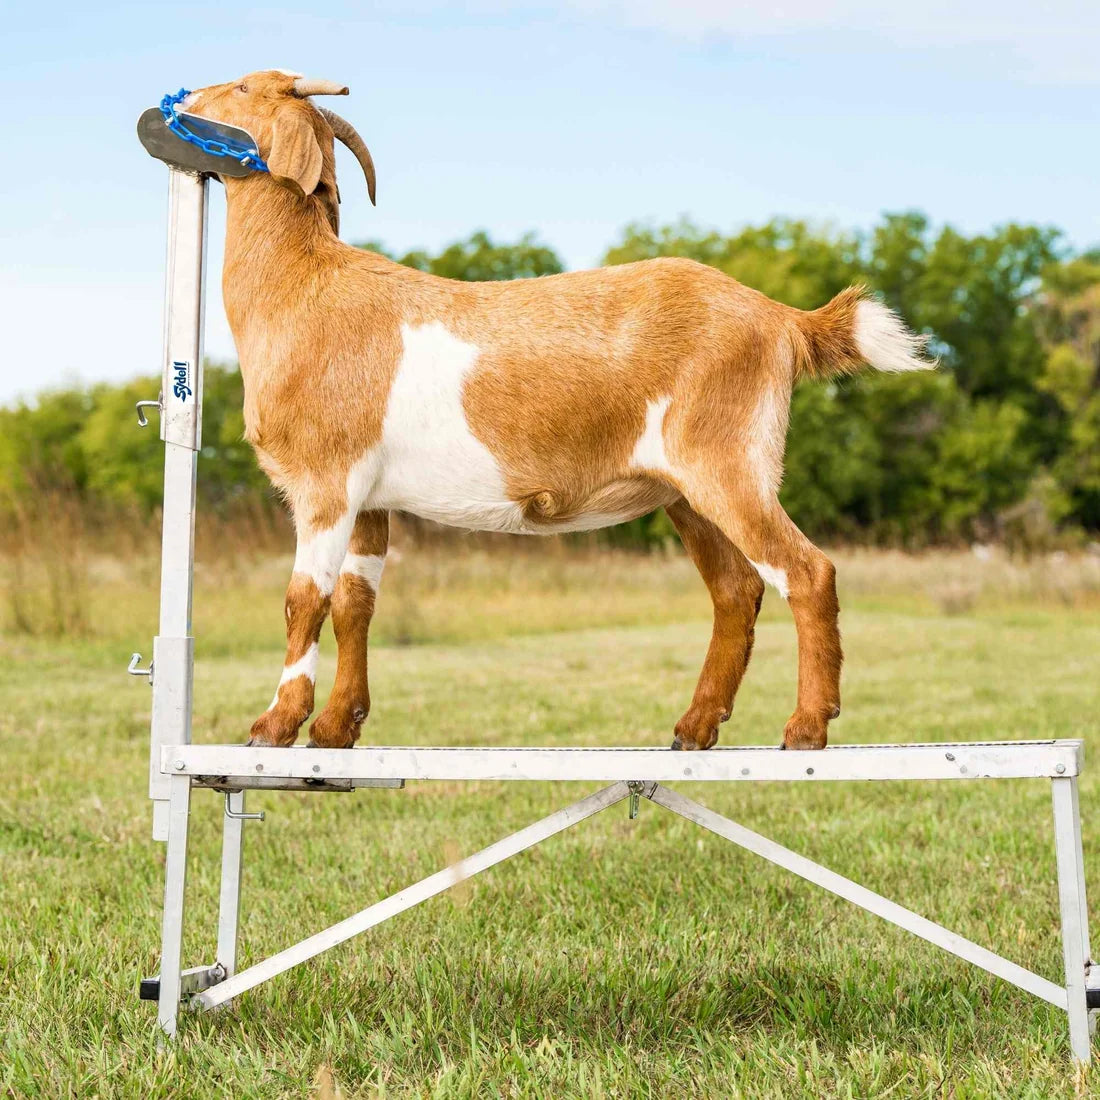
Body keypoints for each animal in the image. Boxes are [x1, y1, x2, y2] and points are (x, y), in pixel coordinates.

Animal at [179, 70, 933, 753]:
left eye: (243, 89)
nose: (183, 98)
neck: (304, 288)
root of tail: (782, 319)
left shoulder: (326, 481)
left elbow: (304, 599)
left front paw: (275, 725)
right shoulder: (370, 497)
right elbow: (355, 604)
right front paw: (337, 730)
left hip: (729, 459)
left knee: (805, 572)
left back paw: (806, 729)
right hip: (686, 490)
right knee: (735, 588)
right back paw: (694, 728)